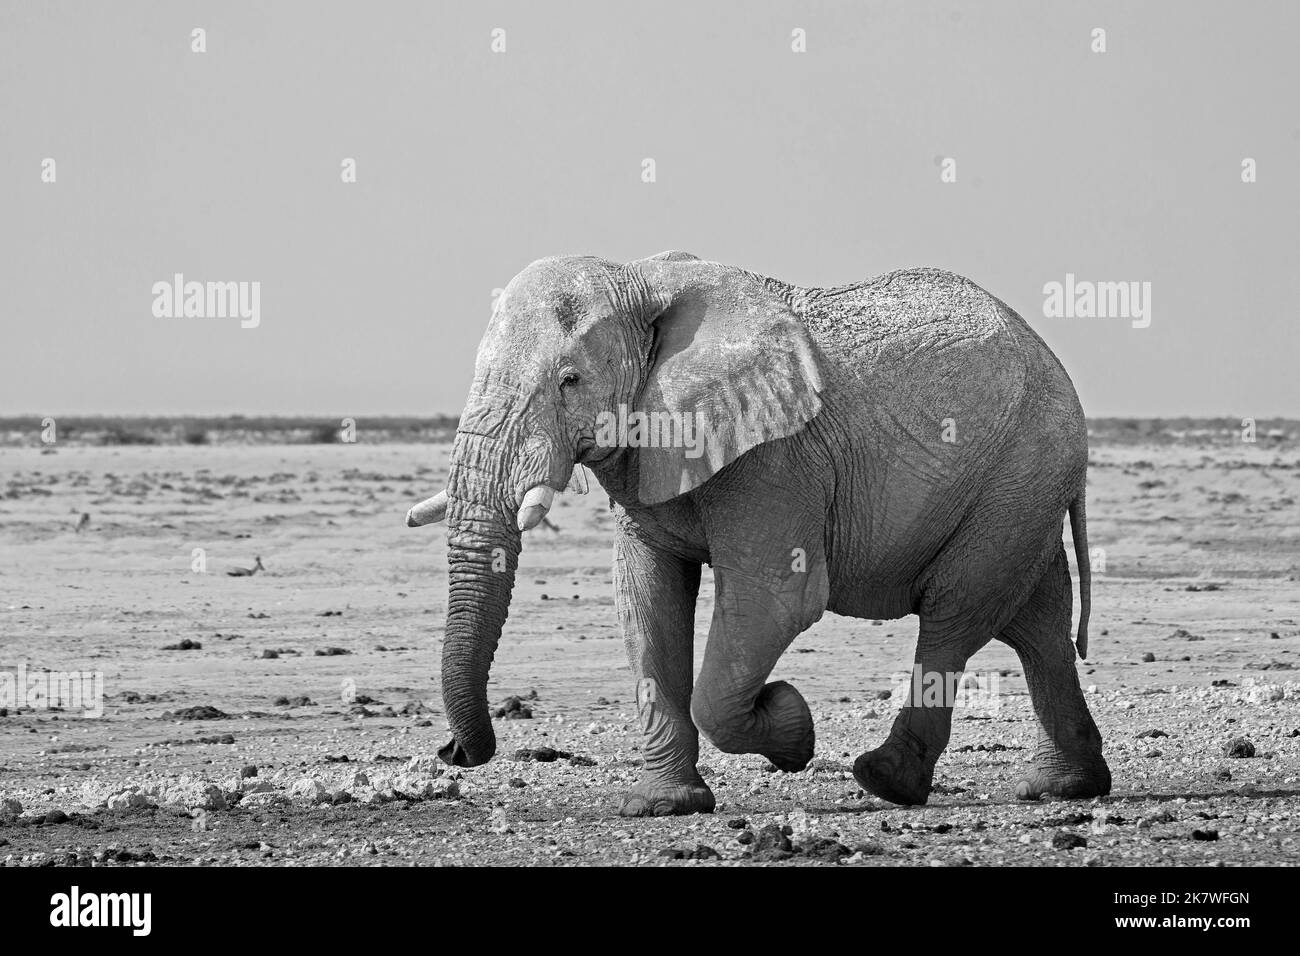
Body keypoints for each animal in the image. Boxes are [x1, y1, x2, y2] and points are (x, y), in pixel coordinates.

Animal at [403, 252, 1107, 816]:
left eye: (569, 380)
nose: (453, 750)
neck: (643, 281)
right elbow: (647, 598)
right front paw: (662, 807)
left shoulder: (777, 457)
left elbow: (775, 601)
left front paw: (792, 728)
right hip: (1021, 490)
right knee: (1035, 623)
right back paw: (1061, 789)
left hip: (1017, 474)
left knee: (955, 615)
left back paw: (886, 780)